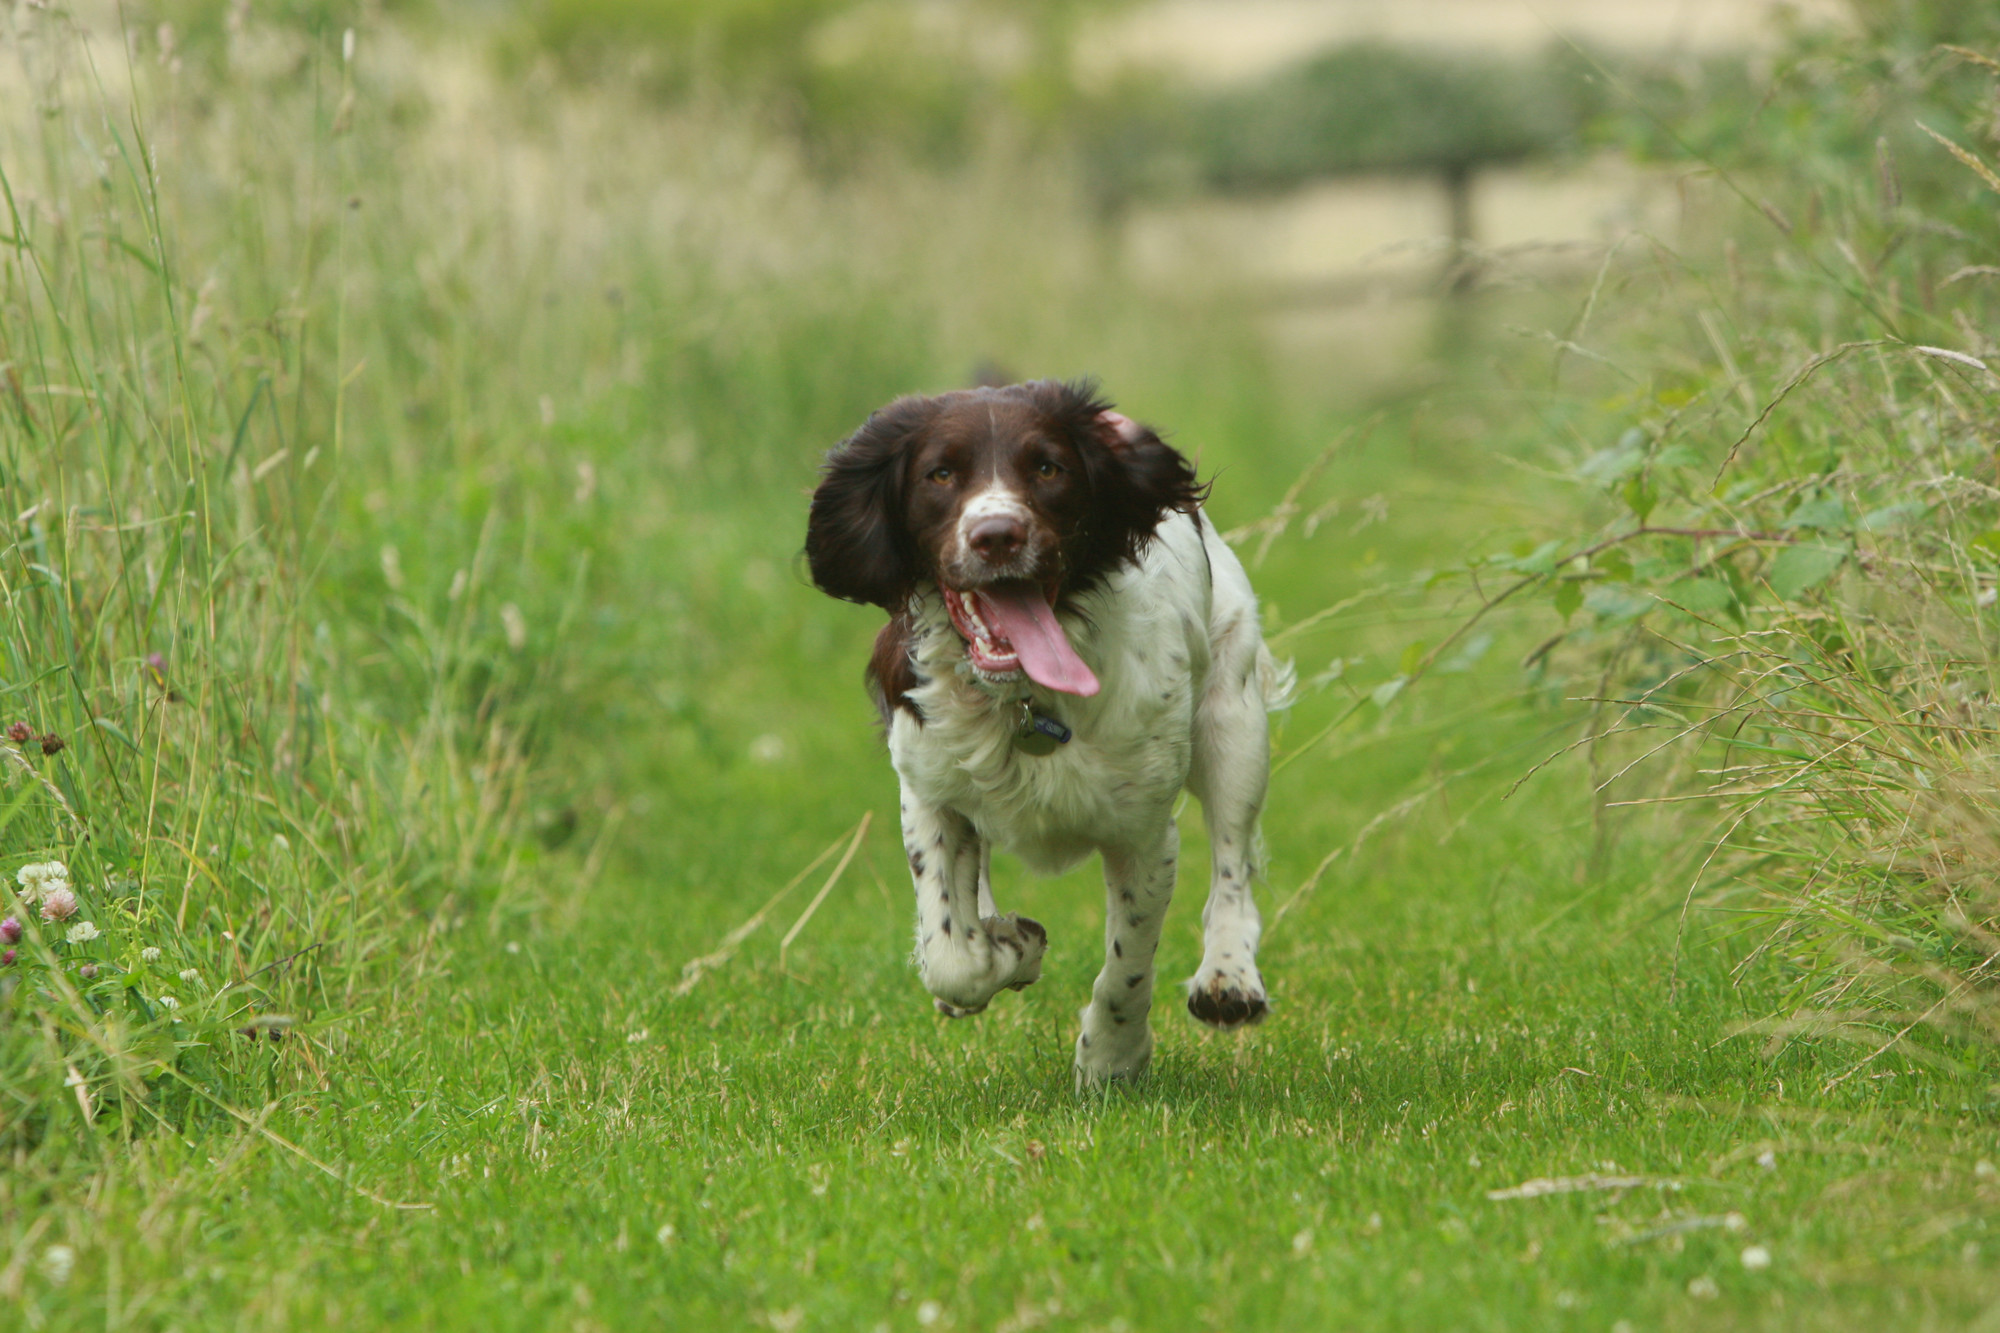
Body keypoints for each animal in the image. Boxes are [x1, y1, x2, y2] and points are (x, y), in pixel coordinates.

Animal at [804, 374, 1288, 1080]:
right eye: (940, 473)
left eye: (1048, 468)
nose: (997, 535)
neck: (1022, 703)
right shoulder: (928, 792)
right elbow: (953, 955)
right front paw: (1012, 948)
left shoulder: (1144, 834)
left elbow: (1128, 964)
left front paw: (1111, 1058)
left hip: (1235, 721)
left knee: (1231, 863)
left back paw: (1228, 978)